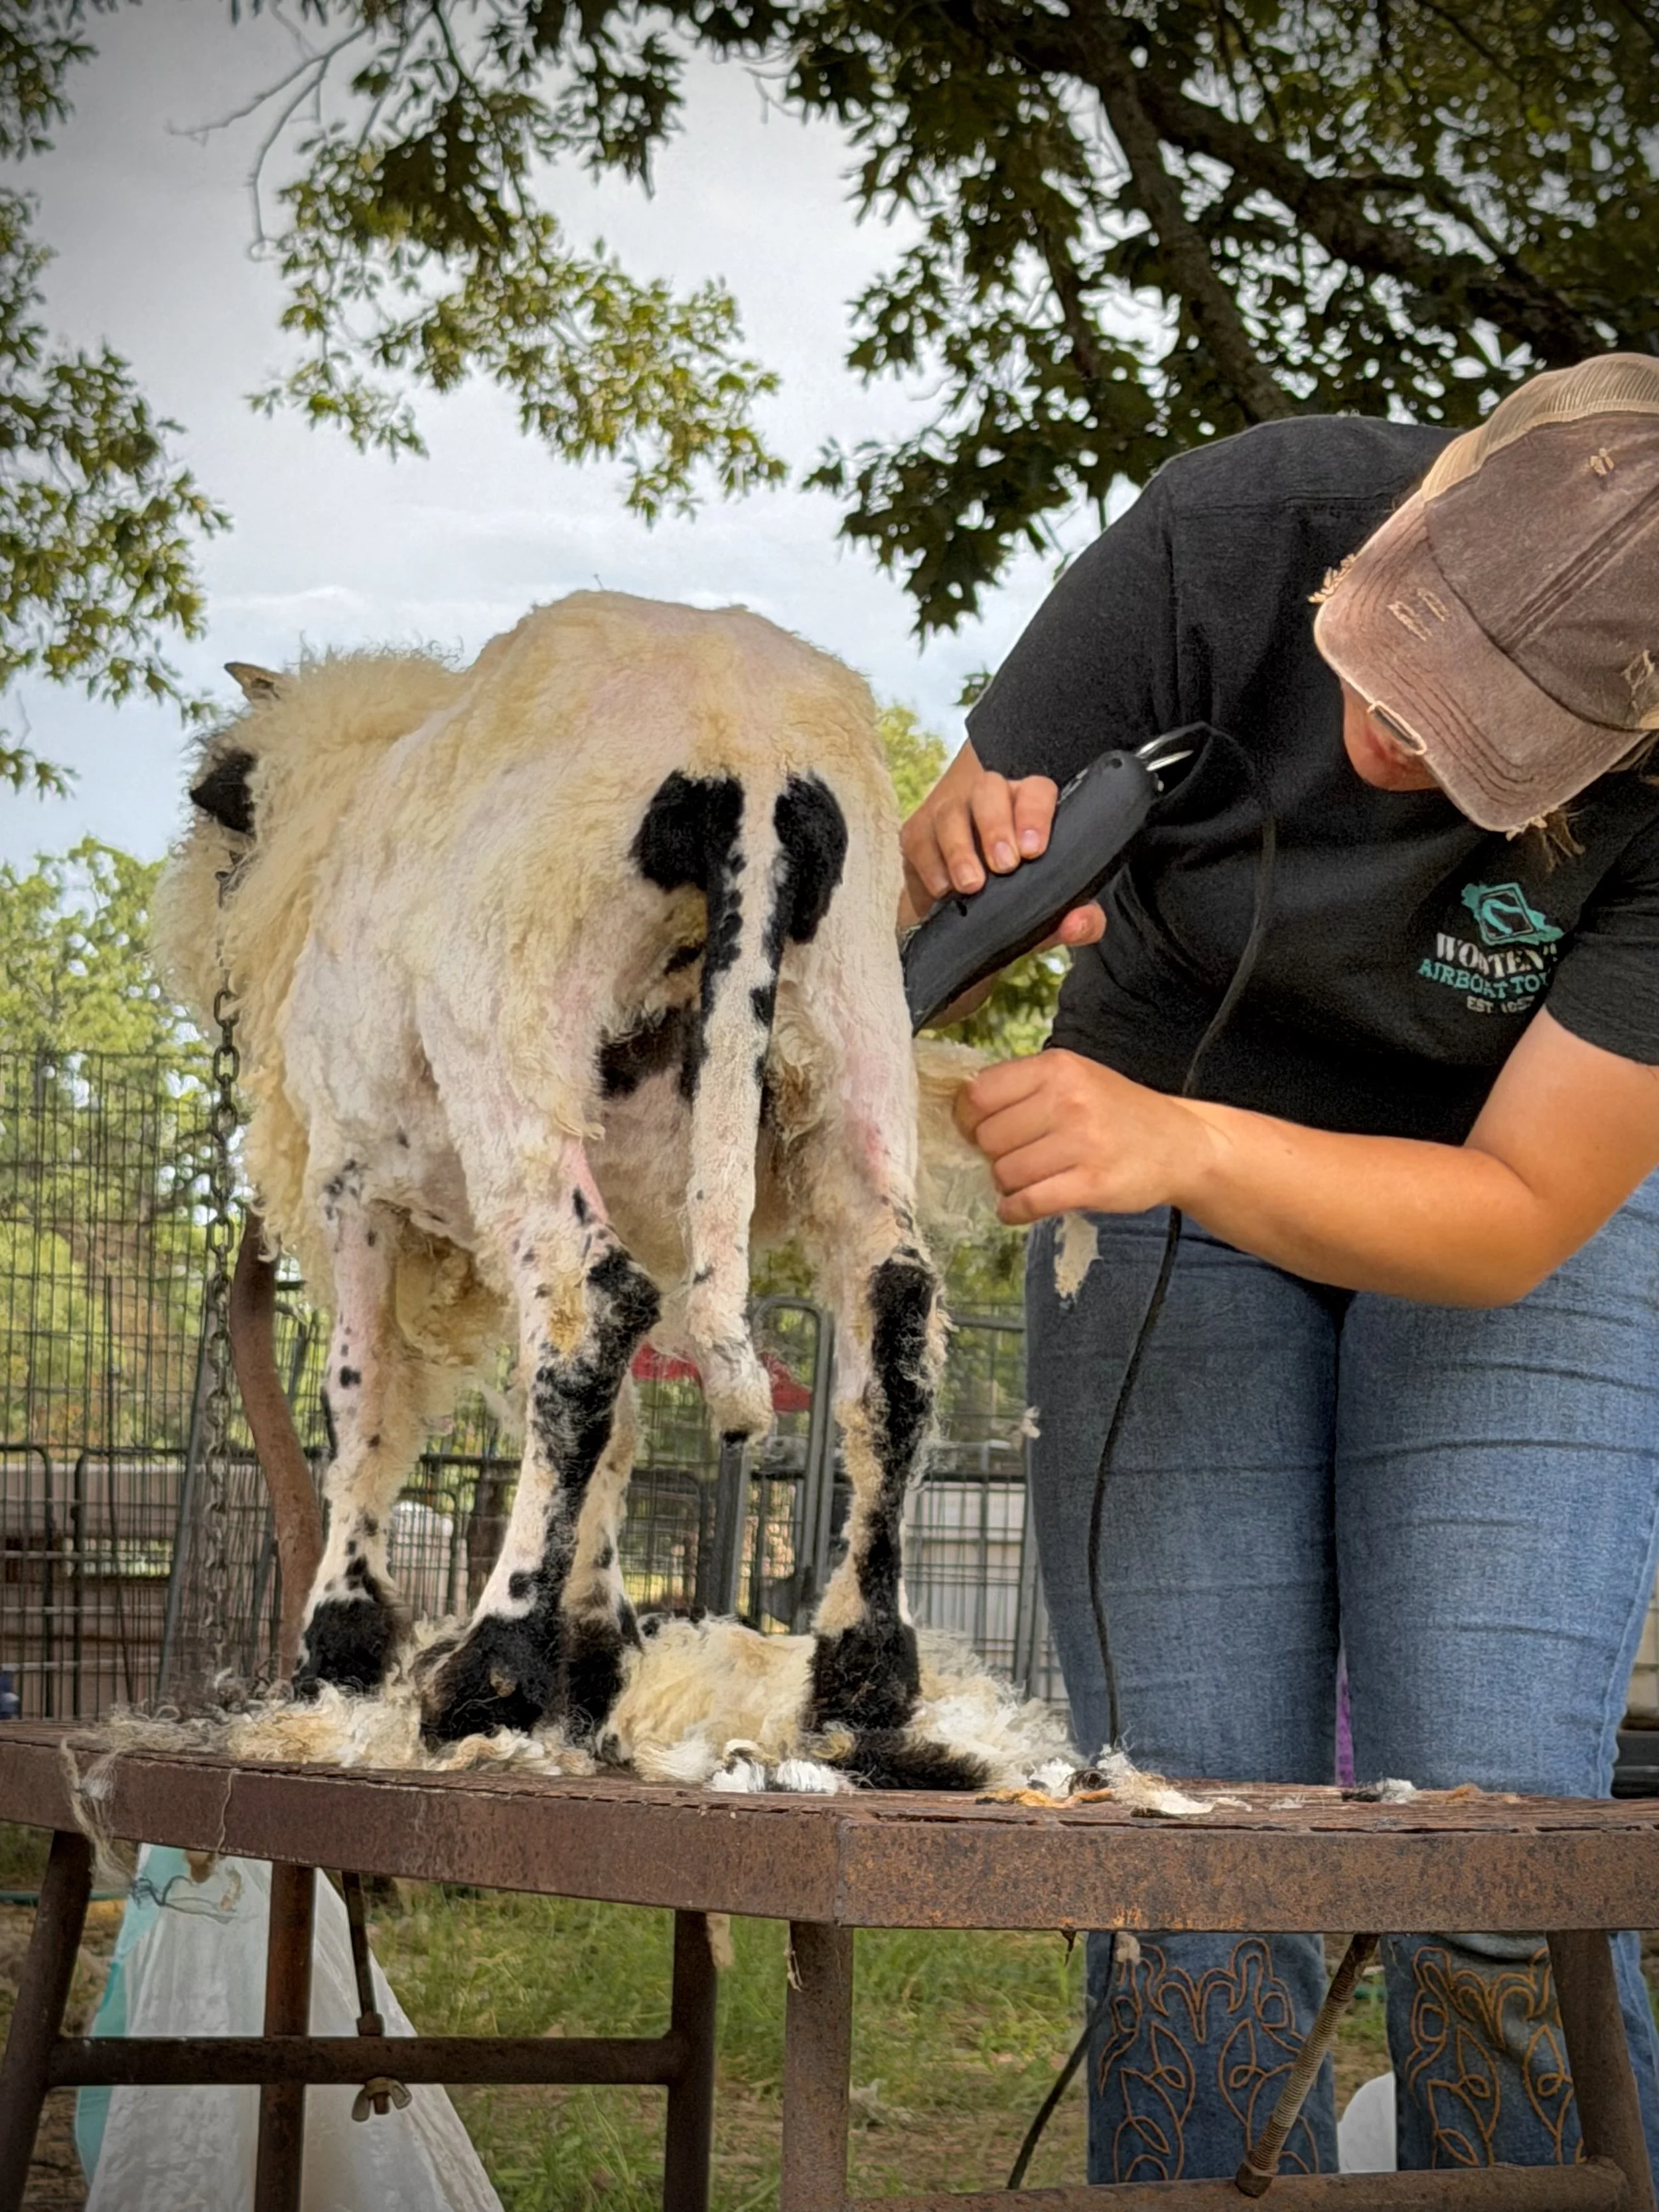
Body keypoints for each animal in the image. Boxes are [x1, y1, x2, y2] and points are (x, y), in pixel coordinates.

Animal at [154, 591, 1037, 1789]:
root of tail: (746, 741)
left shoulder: (353, 1180)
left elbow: (360, 1400)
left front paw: (343, 1643)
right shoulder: (651, 1195)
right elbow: (619, 1429)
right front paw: (598, 1651)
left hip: (516, 1032)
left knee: (587, 1310)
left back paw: (489, 1669)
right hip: (854, 1043)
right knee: (891, 1318)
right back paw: (863, 1680)